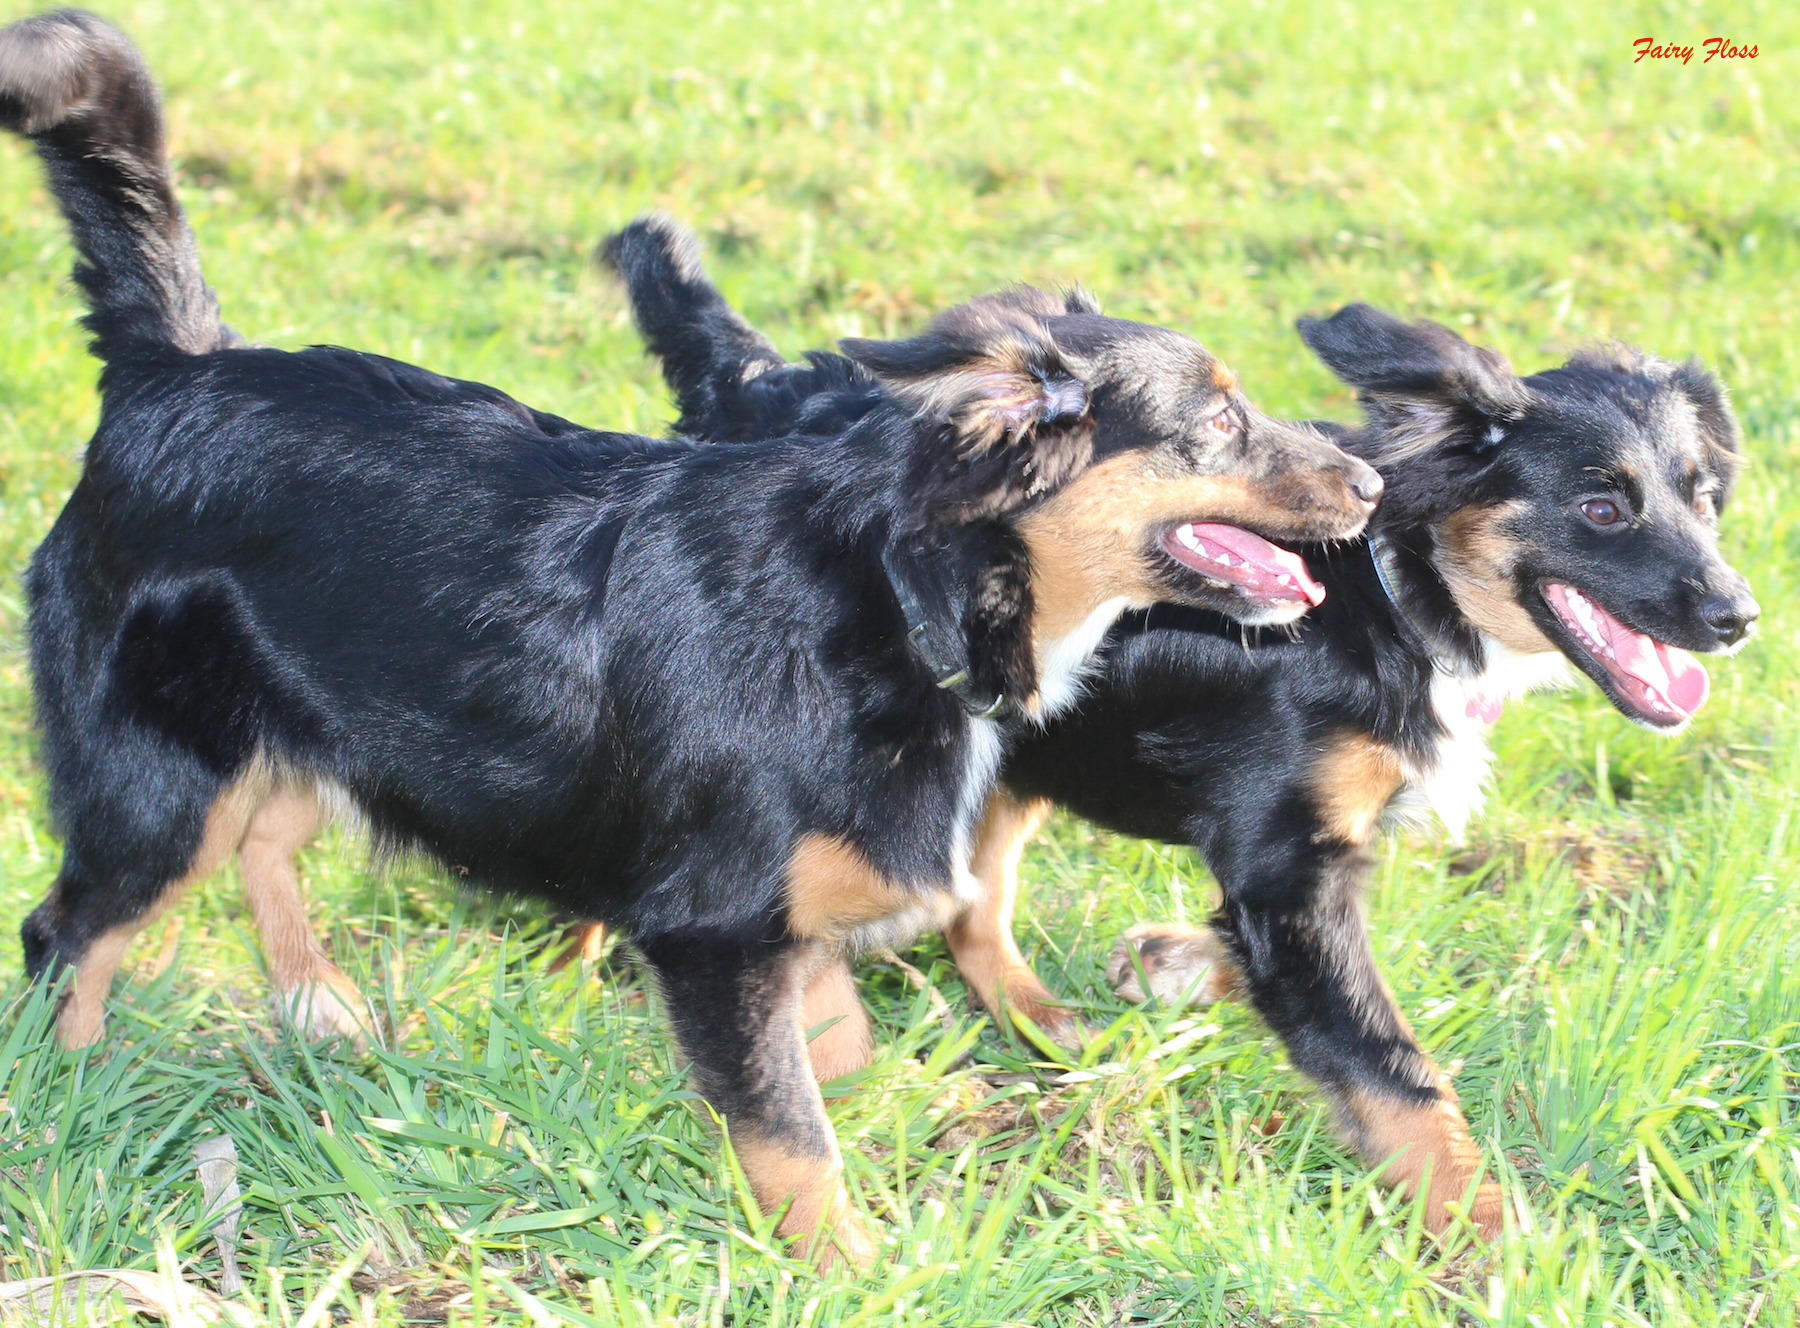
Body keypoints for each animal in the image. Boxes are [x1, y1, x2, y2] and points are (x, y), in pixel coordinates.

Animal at [3, 12, 1375, 1274]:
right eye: (1217, 419)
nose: (1368, 482)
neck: (894, 596)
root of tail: (173, 366)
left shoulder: (781, 913)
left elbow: (831, 1049)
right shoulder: (714, 927)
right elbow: (790, 1125)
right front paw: (849, 1268)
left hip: (327, 712)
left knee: (269, 826)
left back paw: (316, 1001)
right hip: (156, 776)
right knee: (73, 932)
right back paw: (73, 1094)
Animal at [615, 224, 1756, 1230]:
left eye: (1704, 499)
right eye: (1602, 509)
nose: (1739, 615)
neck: (1391, 595)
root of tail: (755, 386)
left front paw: (1166, 960)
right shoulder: (1287, 865)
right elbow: (1394, 1070)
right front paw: (1493, 1238)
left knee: (975, 906)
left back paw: (1047, 1019)